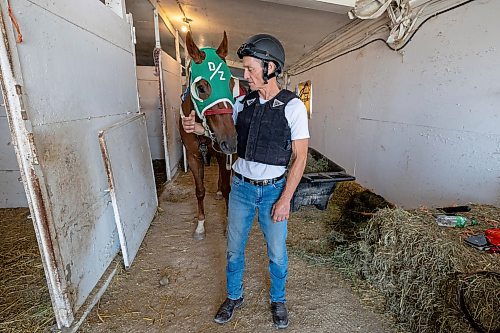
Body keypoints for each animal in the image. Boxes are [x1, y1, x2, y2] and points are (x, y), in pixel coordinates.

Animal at [180, 30, 238, 239]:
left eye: (231, 83)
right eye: (201, 87)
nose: (230, 141)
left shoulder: (223, 155)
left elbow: (229, 189)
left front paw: (229, 225)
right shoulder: (193, 156)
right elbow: (199, 190)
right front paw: (200, 225)